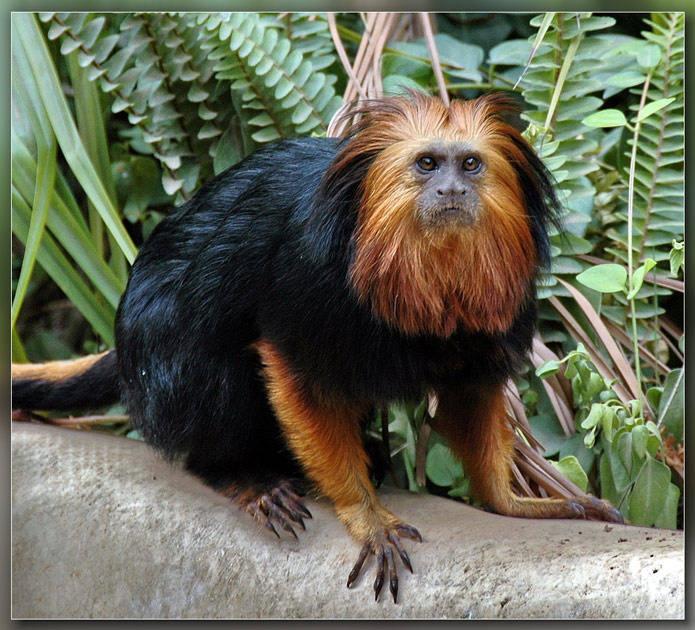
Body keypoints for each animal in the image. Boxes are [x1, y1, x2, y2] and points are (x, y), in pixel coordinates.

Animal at [12, 92, 623, 604]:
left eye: (470, 164)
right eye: (428, 164)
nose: (452, 190)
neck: (420, 275)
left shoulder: (502, 308)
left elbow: (468, 394)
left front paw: (513, 501)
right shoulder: (311, 284)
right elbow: (293, 373)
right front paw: (365, 514)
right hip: (160, 360)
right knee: (209, 370)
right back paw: (243, 475)